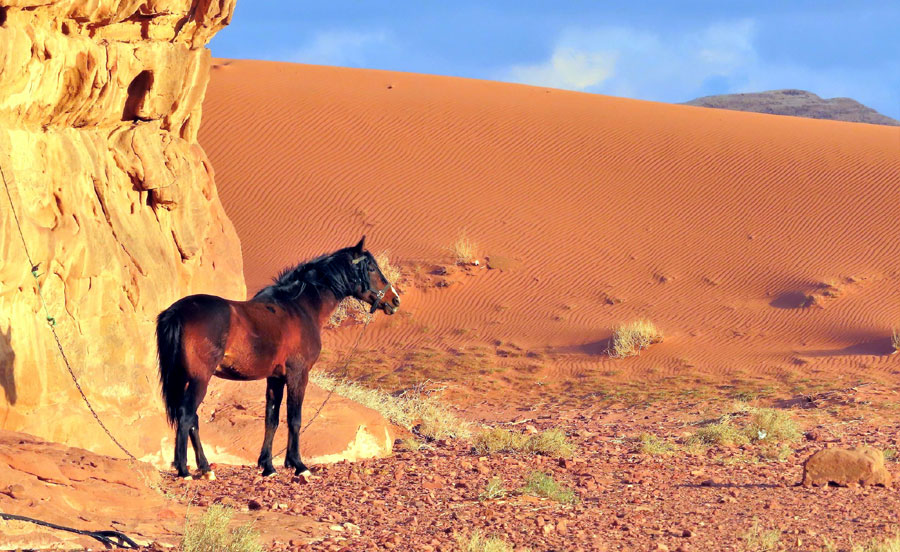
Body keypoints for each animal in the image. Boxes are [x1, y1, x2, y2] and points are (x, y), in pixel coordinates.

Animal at [155, 236, 400, 479]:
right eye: (371, 267)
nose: (394, 300)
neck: (299, 307)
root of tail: (176, 311)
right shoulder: (298, 375)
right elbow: (294, 419)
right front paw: (298, 465)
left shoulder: (275, 378)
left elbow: (271, 419)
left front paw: (268, 466)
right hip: (199, 379)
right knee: (186, 415)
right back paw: (185, 470)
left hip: (185, 378)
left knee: (192, 419)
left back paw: (205, 468)